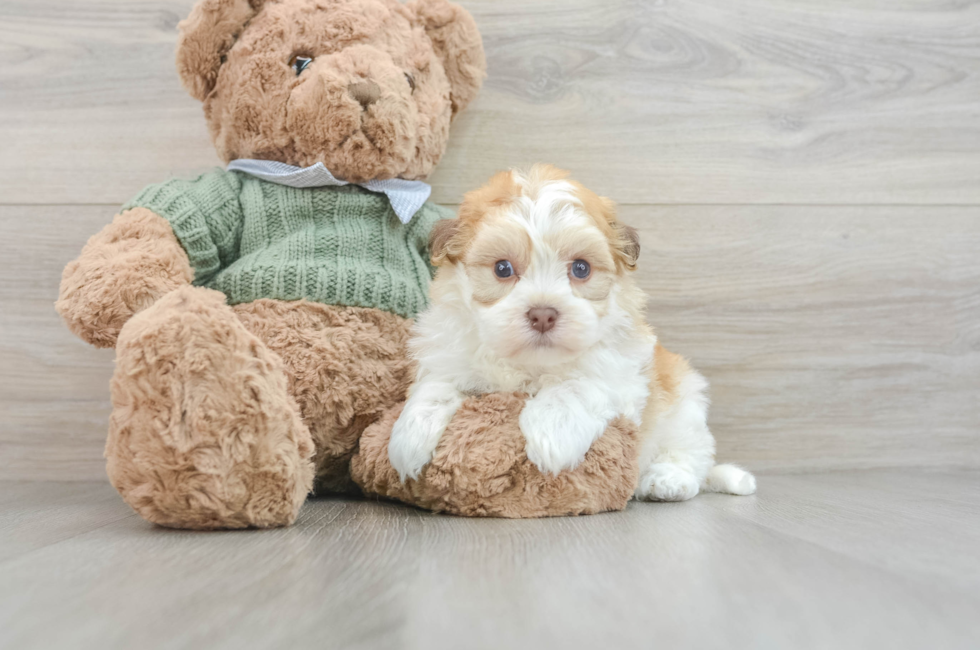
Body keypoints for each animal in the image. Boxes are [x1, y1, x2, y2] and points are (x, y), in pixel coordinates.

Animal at [386, 165, 756, 498]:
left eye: (580, 268)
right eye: (502, 269)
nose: (543, 315)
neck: (532, 363)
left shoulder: (620, 369)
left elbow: (576, 385)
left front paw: (550, 433)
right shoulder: (450, 351)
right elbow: (436, 385)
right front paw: (408, 437)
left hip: (685, 405)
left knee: (690, 451)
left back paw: (667, 480)